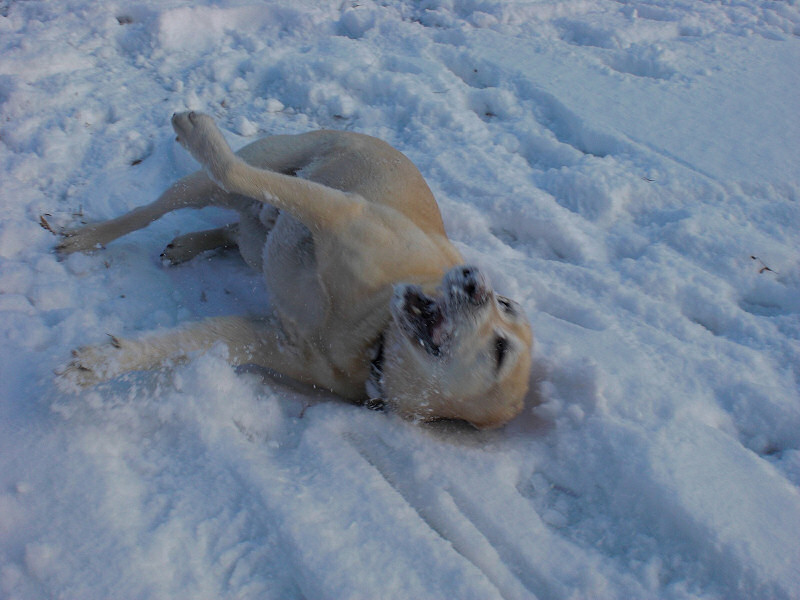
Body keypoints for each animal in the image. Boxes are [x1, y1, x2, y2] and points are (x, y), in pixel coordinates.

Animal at [59, 112, 536, 428]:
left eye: (500, 351)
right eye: (507, 304)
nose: (476, 280)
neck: (371, 338)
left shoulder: (262, 340)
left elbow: (187, 341)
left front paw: (100, 365)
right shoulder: (341, 211)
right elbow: (235, 170)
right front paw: (199, 130)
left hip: (254, 245)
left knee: (237, 229)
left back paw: (190, 243)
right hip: (233, 178)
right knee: (165, 204)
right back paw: (87, 235)